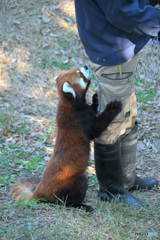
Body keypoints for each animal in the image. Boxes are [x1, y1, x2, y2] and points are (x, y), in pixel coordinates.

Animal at [10, 66, 122, 212]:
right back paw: (80, 205)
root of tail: (39, 192)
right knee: (68, 197)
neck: (70, 103)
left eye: (78, 69)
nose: (86, 66)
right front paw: (113, 107)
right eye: (80, 74)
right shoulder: (82, 120)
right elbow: (97, 127)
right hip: (73, 180)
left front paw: (95, 99)